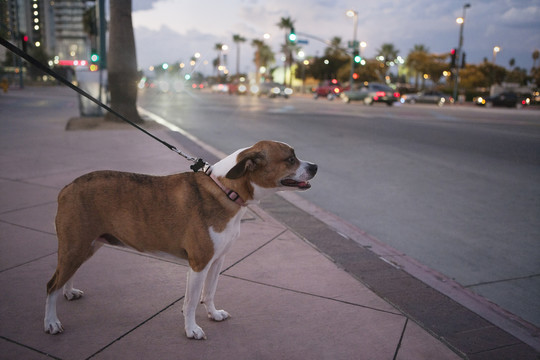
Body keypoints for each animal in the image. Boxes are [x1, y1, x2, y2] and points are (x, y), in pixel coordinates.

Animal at [46, 141, 318, 340]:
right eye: (290, 159)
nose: (315, 166)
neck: (225, 190)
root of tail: (68, 187)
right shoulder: (199, 264)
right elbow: (191, 301)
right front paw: (191, 329)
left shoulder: (217, 261)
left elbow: (209, 292)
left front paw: (213, 313)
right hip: (75, 247)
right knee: (51, 285)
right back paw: (51, 321)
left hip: (86, 246)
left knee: (66, 275)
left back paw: (68, 292)